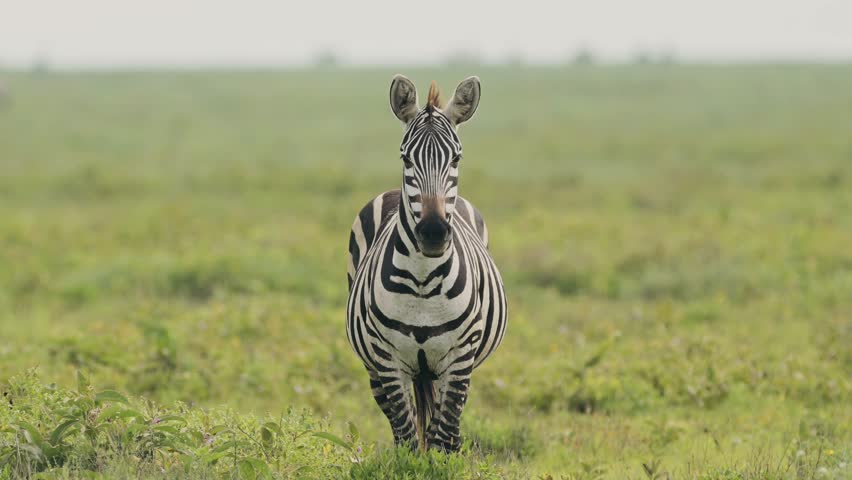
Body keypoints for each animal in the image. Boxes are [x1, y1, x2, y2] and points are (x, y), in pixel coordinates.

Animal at [346, 75, 507, 452]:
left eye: (456, 158)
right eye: (405, 158)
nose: (433, 232)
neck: (422, 280)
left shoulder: (460, 358)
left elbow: (442, 437)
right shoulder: (387, 359)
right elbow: (407, 438)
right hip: (375, 366)